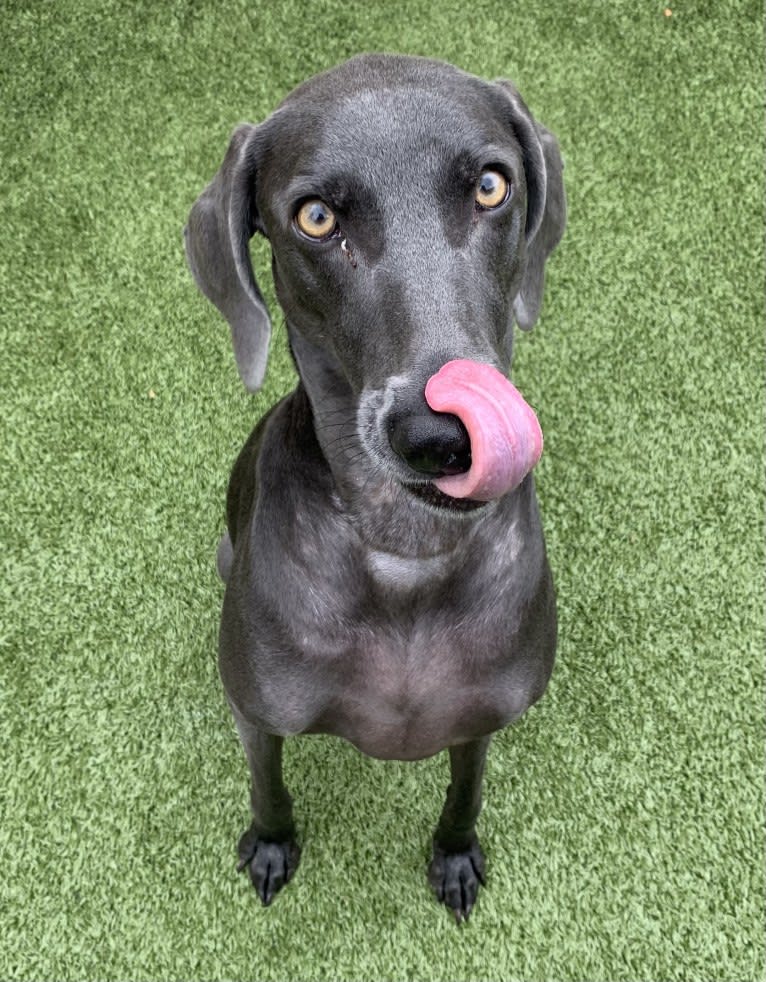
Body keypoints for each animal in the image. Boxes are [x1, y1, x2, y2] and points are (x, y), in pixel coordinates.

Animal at [185, 53, 568, 924]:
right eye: (316, 217)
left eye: (490, 186)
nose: (440, 437)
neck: (404, 548)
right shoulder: (257, 712)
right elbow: (268, 785)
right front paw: (271, 845)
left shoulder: (482, 715)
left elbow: (465, 792)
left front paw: (455, 857)